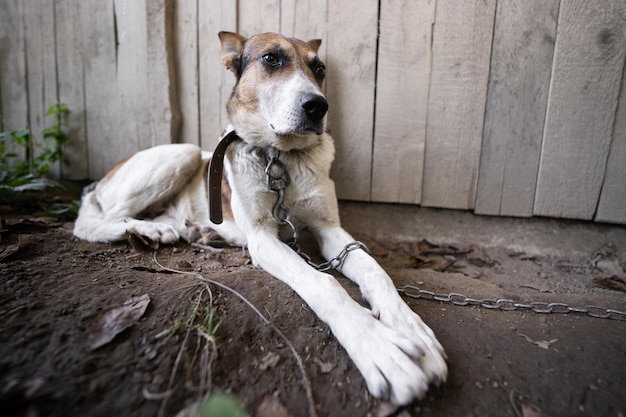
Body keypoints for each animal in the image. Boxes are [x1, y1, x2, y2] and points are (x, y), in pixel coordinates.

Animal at [72, 32, 444, 406]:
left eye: (320, 69)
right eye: (271, 59)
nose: (317, 106)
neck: (281, 157)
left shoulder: (330, 230)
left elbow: (374, 270)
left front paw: (411, 328)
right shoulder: (262, 238)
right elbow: (323, 282)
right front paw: (377, 345)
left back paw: (190, 231)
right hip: (182, 153)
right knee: (97, 219)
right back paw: (146, 228)